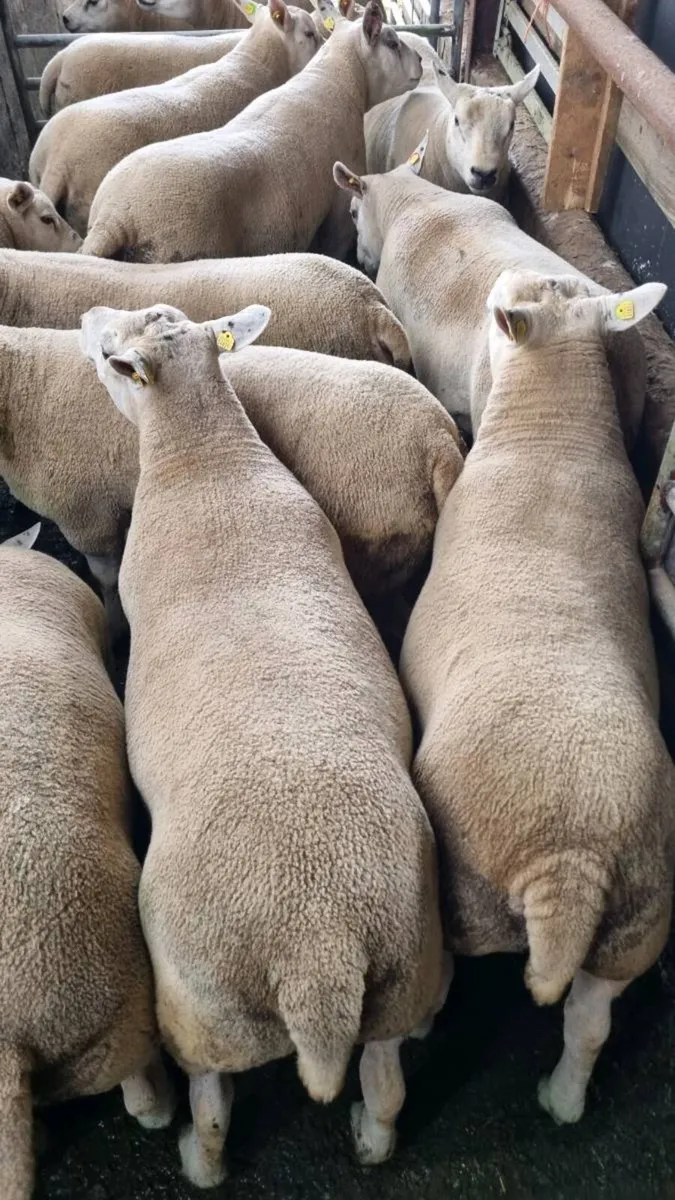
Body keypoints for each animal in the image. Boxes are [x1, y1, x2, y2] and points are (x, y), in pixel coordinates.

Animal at [0, 317, 457, 639]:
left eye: (107, 349)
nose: (84, 319)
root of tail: (438, 441)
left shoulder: (87, 517)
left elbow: (107, 586)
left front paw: (114, 633)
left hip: (374, 546)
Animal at [81, 300, 446, 1184]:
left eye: (110, 357)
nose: (88, 316)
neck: (205, 461)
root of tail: (318, 950)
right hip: (403, 971)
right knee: (387, 1085)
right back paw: (371, 1139)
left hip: (203, 1008)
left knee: (213, 1104)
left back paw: (196, 1158)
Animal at [399, 269, 673, 1126]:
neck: (552, 437)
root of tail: (570, 862)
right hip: (636, 922)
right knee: (588, 1022)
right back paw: (561, 1100)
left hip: (466, 891)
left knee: (438, 984)